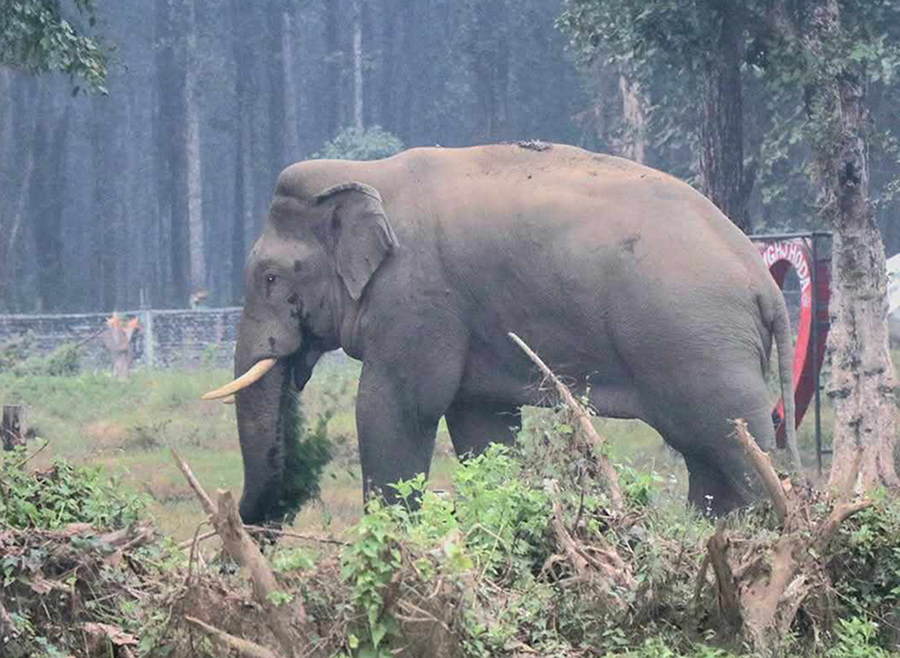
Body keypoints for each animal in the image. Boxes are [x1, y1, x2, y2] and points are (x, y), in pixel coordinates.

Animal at [202, 142, 796, 524]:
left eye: (270, 278)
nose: (269, 517)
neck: (366, 173)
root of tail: (762, 280)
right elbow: (482, 423)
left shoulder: (418, 299)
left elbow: (397, 406)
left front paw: (395, 536)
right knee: (706, 452)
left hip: (700, 343)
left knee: (734, 442)